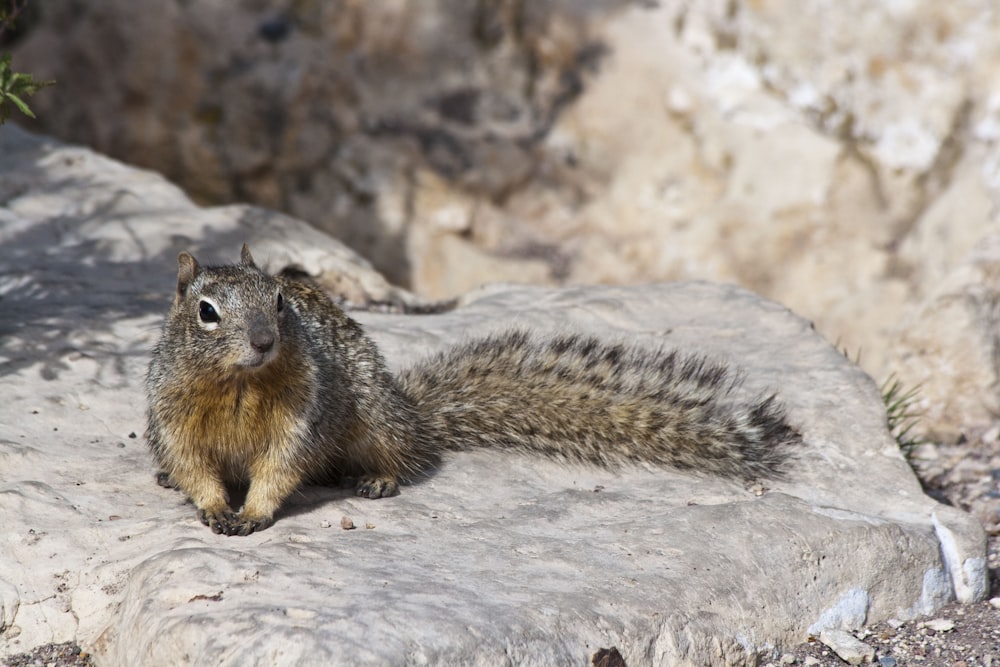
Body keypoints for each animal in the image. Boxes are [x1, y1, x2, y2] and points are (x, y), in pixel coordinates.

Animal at [146, 245, 804, 536]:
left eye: (280, 299)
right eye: (206, 312)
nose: (263, 340)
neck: (241, 384)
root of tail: (413, 411)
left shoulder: (300, 418)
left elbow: (281, 467)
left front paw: (253, 511)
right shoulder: (172, 420)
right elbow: (194, 466)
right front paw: (214, 506)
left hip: (375, 418)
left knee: (399, 454)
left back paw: (379, 479)